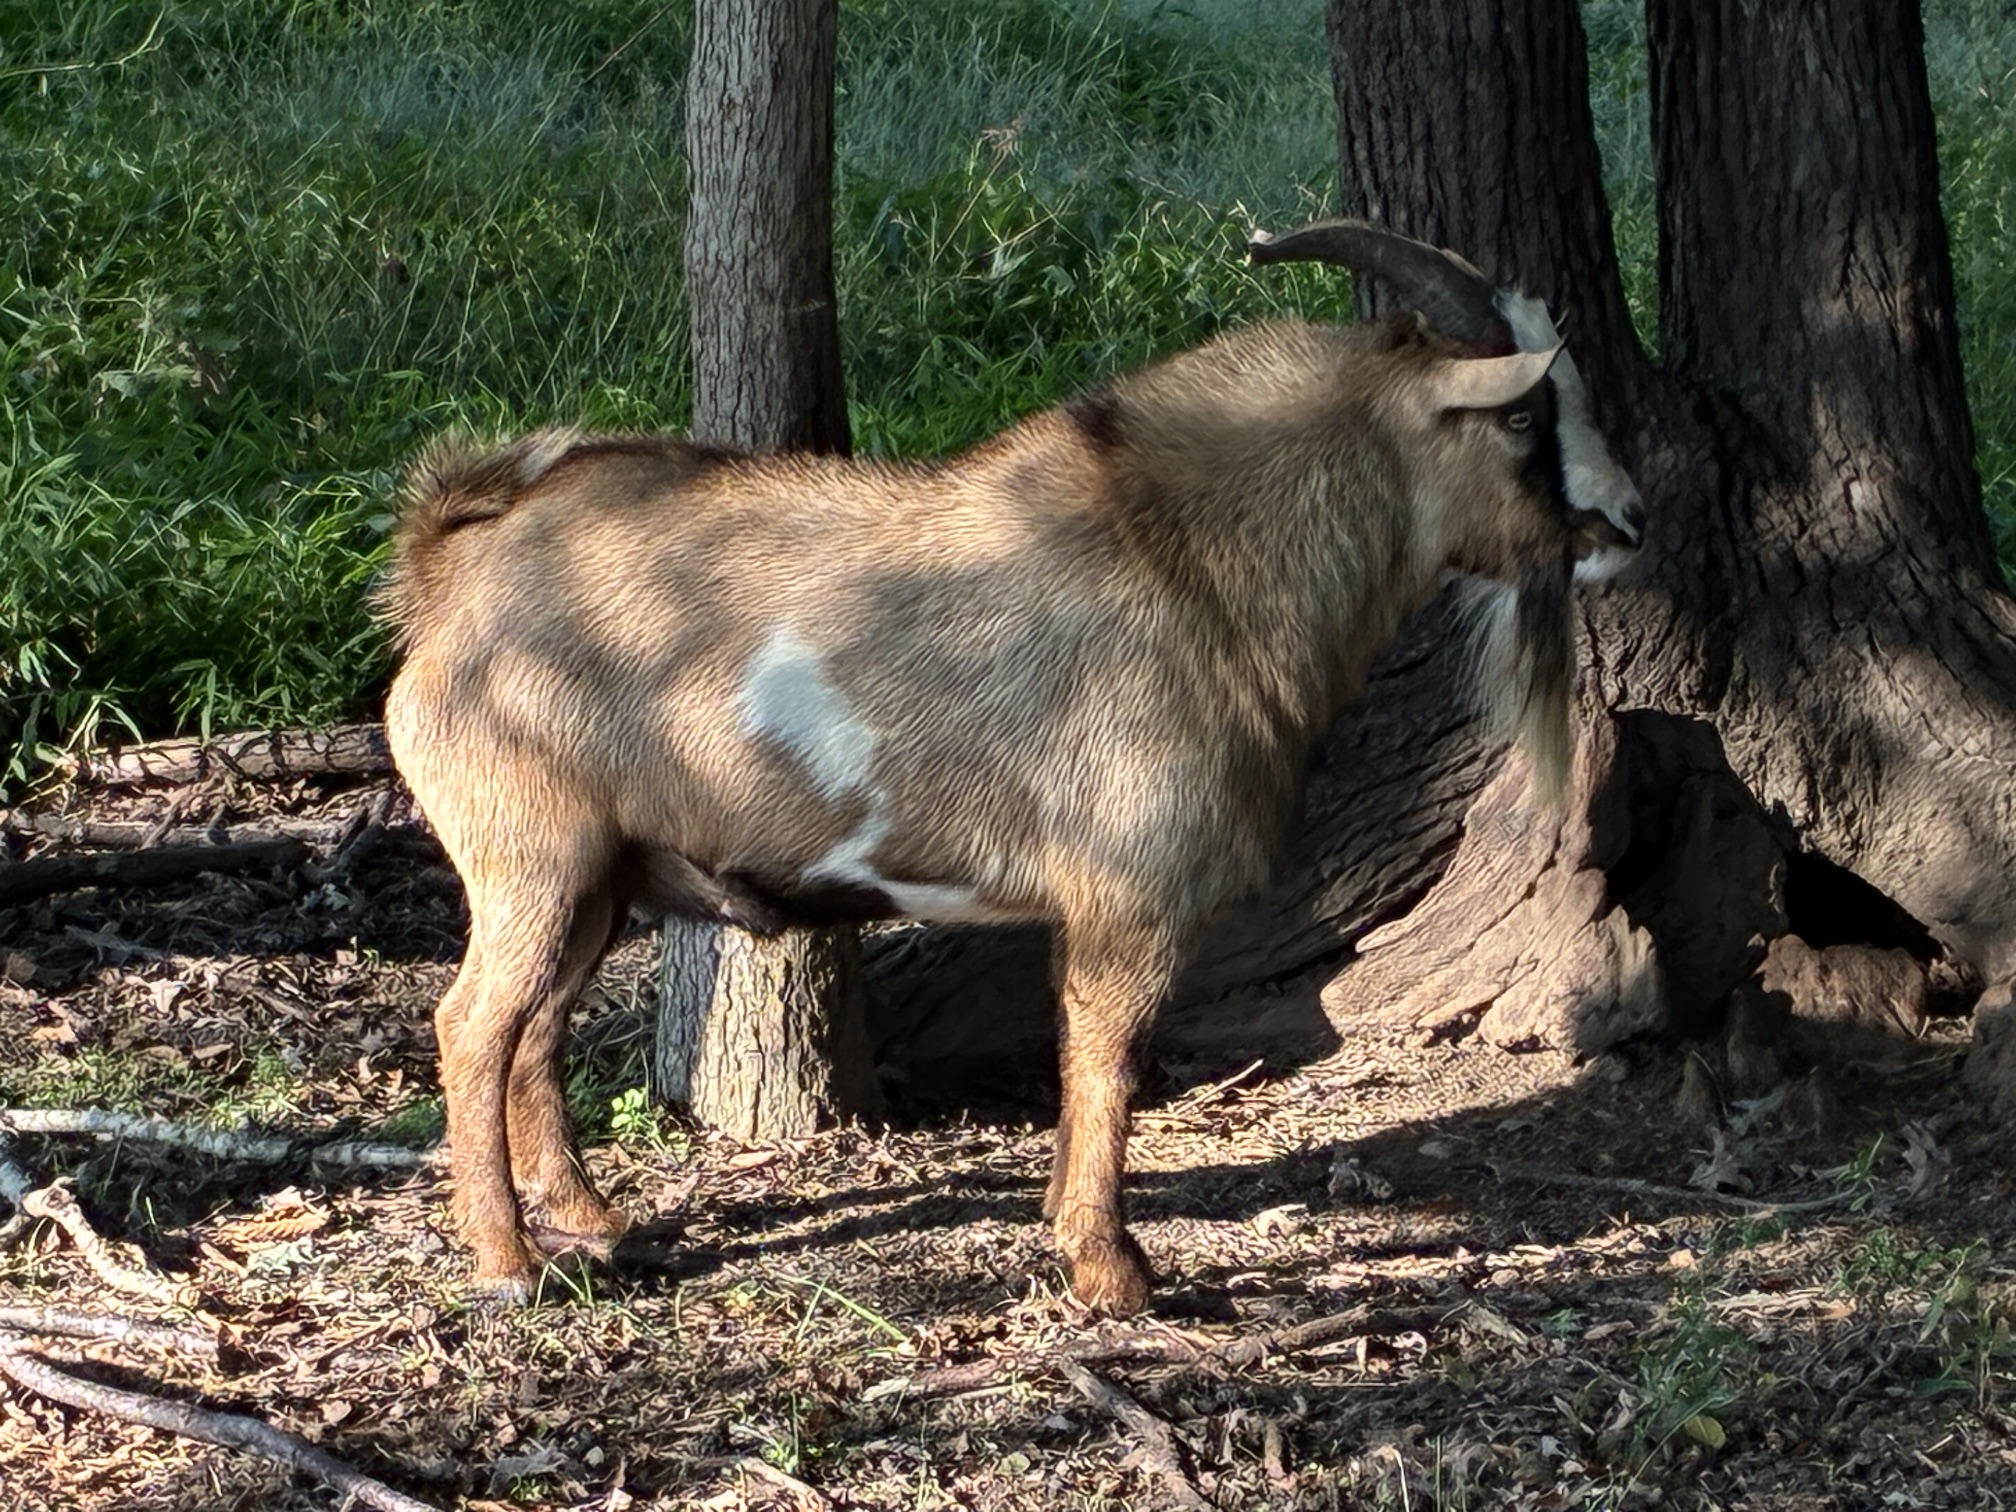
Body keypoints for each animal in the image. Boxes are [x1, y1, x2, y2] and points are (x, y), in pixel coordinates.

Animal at [381, 220, 1644, 1311]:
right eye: (1523, 418)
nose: (1628, 521)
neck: (1196, 572)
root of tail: (450, 577)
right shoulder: (1132, 895)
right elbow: (1107, 1059)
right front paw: (1111, 1270)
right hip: (531, 855)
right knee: (471, 1026)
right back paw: (508, 1262)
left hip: (598, 874)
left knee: (536, 1031)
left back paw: (594, 1222)